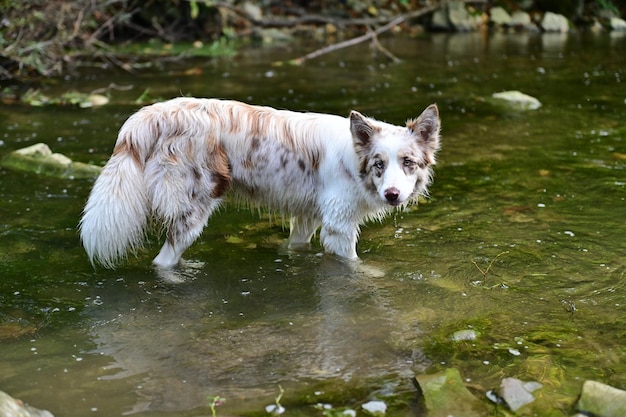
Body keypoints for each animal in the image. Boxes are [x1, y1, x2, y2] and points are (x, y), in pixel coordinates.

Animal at [79, 97, 438, 266]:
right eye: (379, 164)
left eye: (408, 162)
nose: (393, 195)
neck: (353, 157)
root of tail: (153, 114)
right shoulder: (339, 226)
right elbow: (353, 264)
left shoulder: (307, 217)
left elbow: (295, 245)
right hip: (194, 207)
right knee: (163, 260)